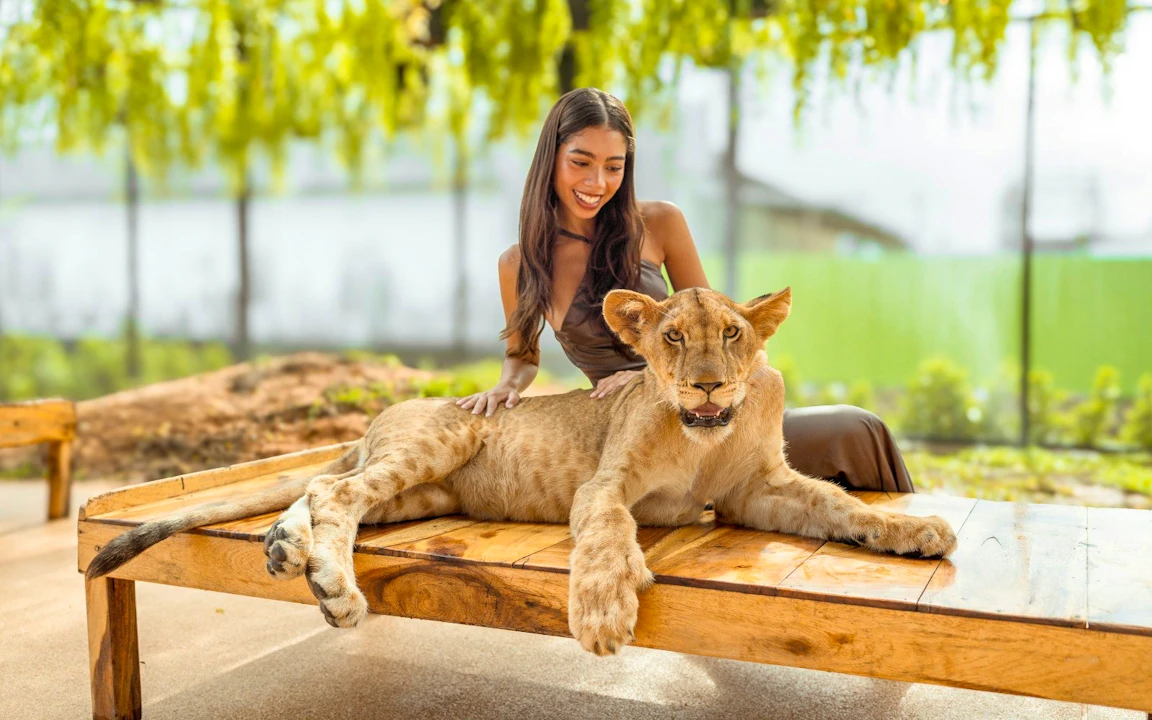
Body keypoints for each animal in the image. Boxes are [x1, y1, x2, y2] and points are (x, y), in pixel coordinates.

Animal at [88, 286, 956, 655]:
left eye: (734, 335)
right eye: (673, 338)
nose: (707, 384)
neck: (706, 436)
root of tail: (375, 421)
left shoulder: (758, 493)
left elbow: (842, 507)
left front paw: (915, 531)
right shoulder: (606, 485)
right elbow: (606, 533)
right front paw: (604, 613)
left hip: (421, 493)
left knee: (322, 491)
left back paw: (285, 549)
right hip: (443, 442)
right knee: (333, 487)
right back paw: (332, 587)